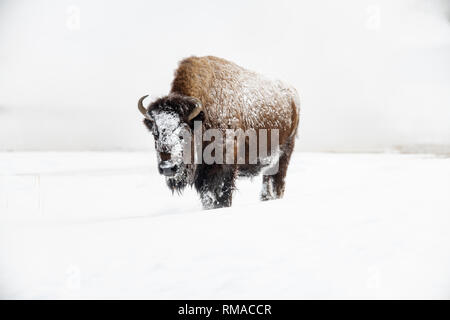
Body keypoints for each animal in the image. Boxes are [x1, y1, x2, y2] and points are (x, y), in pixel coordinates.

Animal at [137, 55, 298, 210]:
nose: (167, 167)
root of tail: (293, 94)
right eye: (155, 134)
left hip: (284, 154)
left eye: (183, 134)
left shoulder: (222, 168)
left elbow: (220, 196)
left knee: (278, 181)